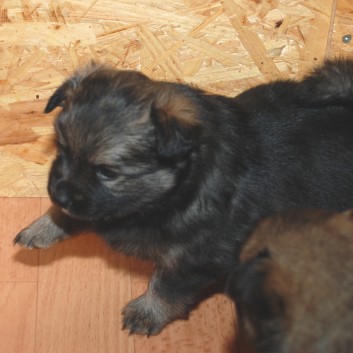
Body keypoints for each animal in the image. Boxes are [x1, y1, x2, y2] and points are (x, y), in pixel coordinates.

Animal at [14, 60, 353, 336]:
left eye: (107, 171)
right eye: (61, 148)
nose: (58, 193)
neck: (178, 186)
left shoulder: (197, 256)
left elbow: (167, 287)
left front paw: (147, 312)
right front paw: (44, 226)